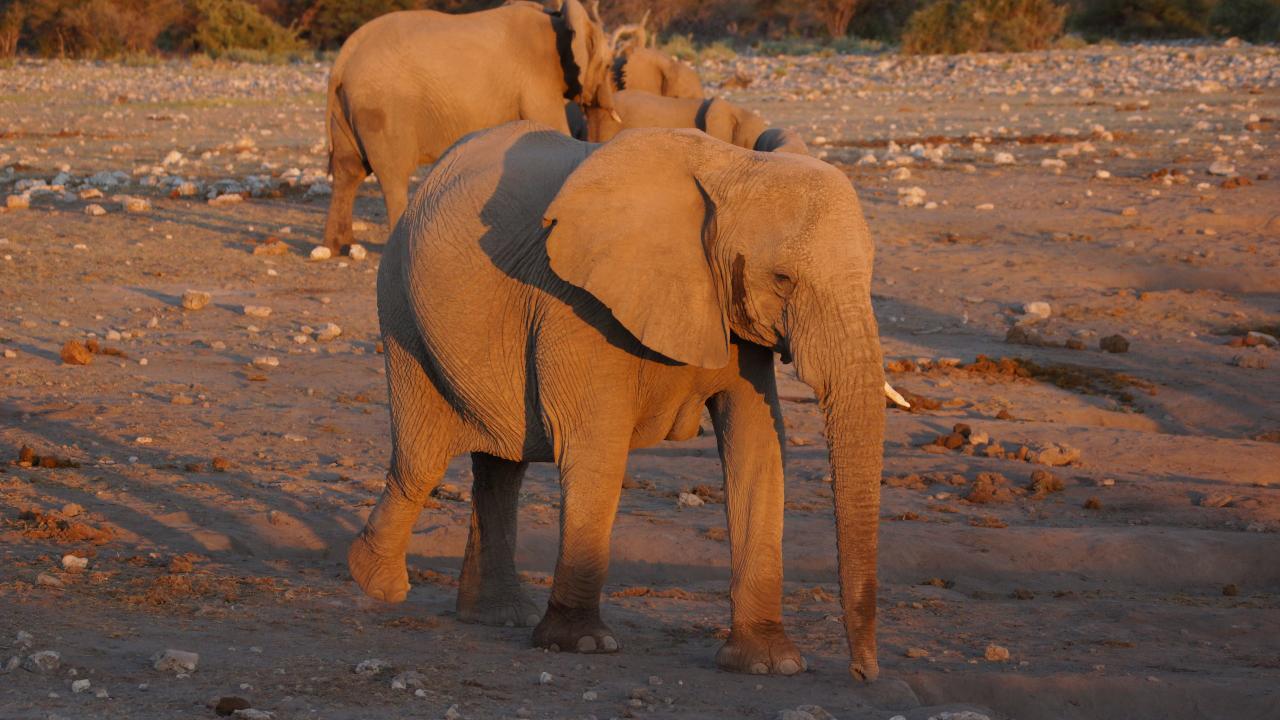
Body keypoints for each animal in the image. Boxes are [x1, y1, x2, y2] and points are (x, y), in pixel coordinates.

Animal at [321, 0, 616, 254]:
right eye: (609, 65)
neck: (558, 18)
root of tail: (343, 59)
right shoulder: (536, 81)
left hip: (347, 107)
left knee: (349, 170)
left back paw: (339, 247)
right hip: (384, 108)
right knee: (394, 176)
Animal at [349, 121, 888, 682]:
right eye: (783, 279)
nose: (864, 674)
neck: (732, 166)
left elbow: (757, 448)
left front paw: (769, 664)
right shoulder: (578, 305)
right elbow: (596, 447)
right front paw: (581, 645)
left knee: (501, 467)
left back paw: (497, 616)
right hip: (401, 310)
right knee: (422, 461)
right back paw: (376, 585)